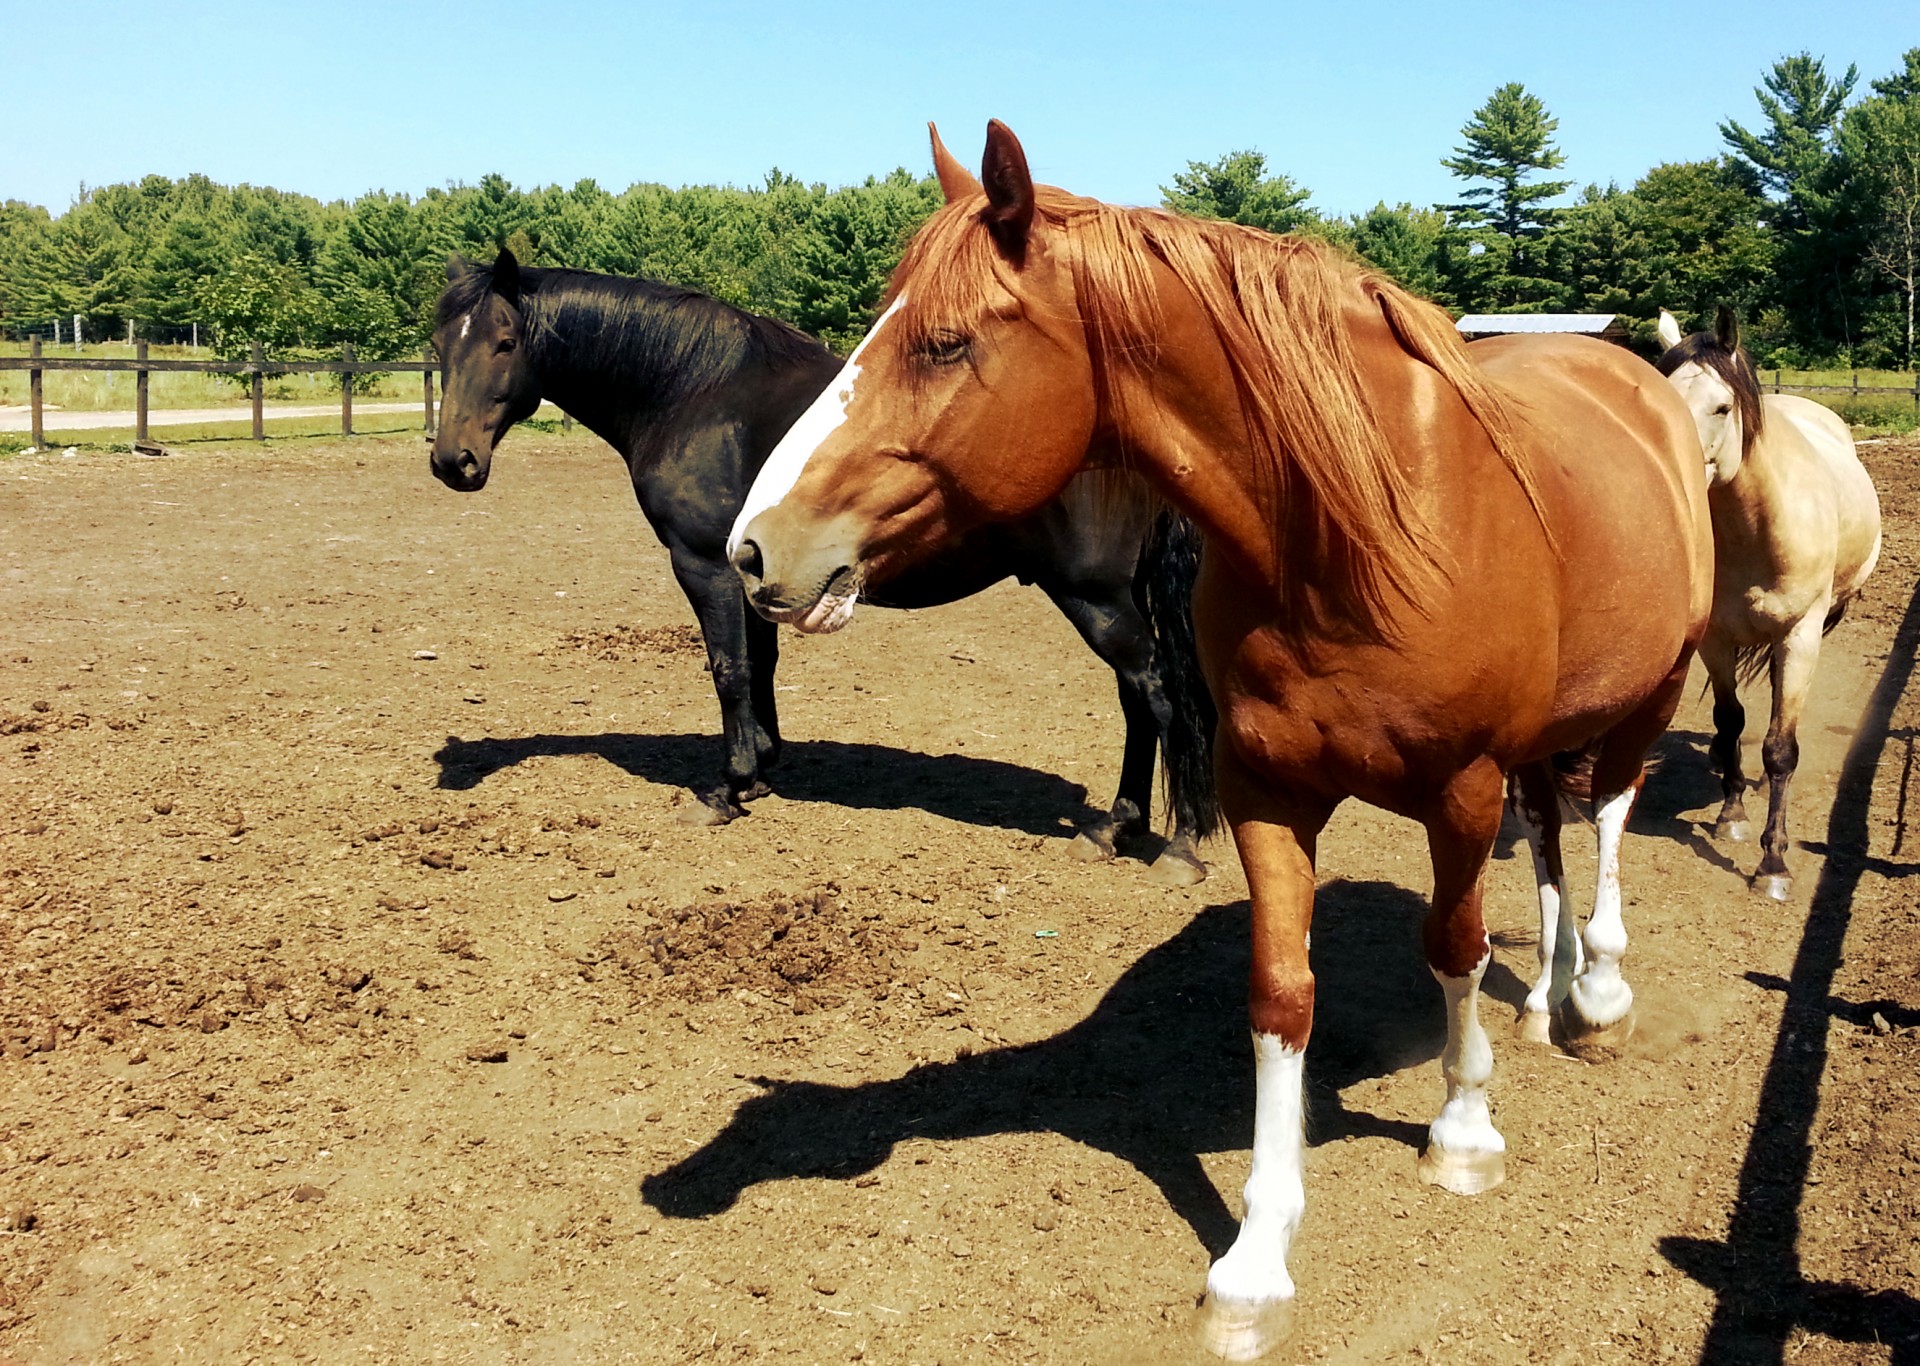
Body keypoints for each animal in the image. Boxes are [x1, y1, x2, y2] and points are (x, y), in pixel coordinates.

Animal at [435, 247, 1213, 887]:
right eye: (441, 345)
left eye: (505, 342)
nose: (453, 463)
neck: (696, 392)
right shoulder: (754, 570)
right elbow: (761, 664)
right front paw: (760, 767)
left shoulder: (702, 565)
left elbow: (729, 668)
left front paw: (725, 788)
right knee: (1138, 698)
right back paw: (1116, 828)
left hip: (1093, 595)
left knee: (1158, 695)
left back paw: (1172, 846)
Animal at [721, 125, 1712, 1360]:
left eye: (945, 344)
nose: (753, 549)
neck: (1356, 534)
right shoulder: (1267, 794)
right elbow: (1282, 996)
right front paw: (1256, 1260)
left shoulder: (1460, 790)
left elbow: (1454, 946)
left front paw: (1463, 1131)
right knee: (1553, 836)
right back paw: (1549, 997)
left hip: (1651, 693)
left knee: (1610, 817)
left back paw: (1600, 998)